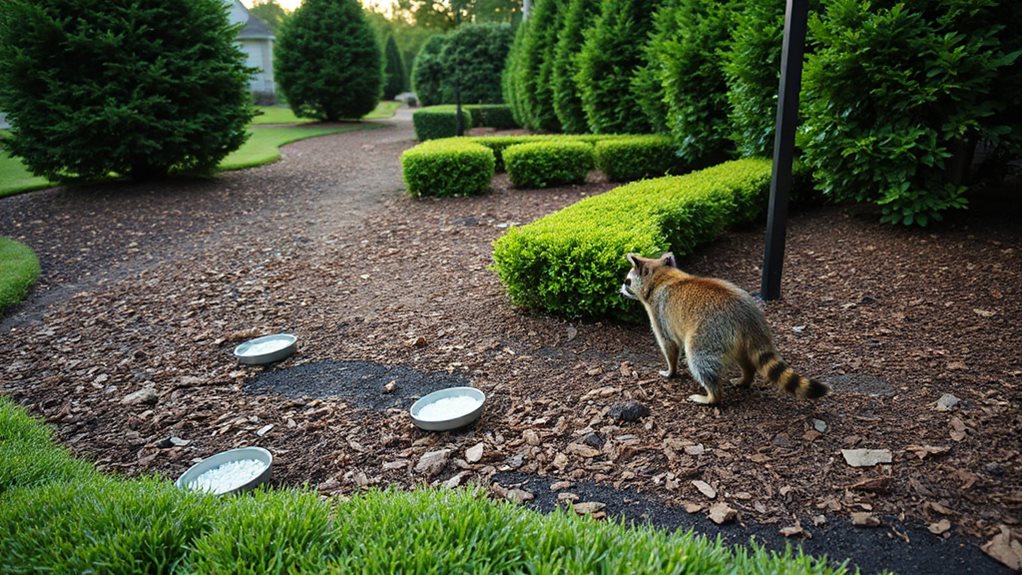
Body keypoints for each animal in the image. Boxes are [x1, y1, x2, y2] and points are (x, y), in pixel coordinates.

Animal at [620, 252, 829, 405]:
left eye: (627, 281)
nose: (620, 290)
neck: (663, 276)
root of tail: (747, 316)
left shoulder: (659, 313)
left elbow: (669, 345)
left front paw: (671, 371)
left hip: (710, 333)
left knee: (698, 357)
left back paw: (712, 396)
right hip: (733, 338)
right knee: (745, 359)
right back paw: (746, 377)